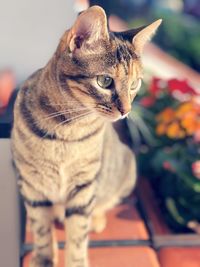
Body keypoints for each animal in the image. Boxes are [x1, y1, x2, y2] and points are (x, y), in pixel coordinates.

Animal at [10, 6, 162, 267]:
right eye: (105, 81)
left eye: (135, 85)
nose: (126, 110)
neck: (68, 131)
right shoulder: (32, 184)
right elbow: (42, 230)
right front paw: (43, 258)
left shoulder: (84, 186)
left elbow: (78, 236)